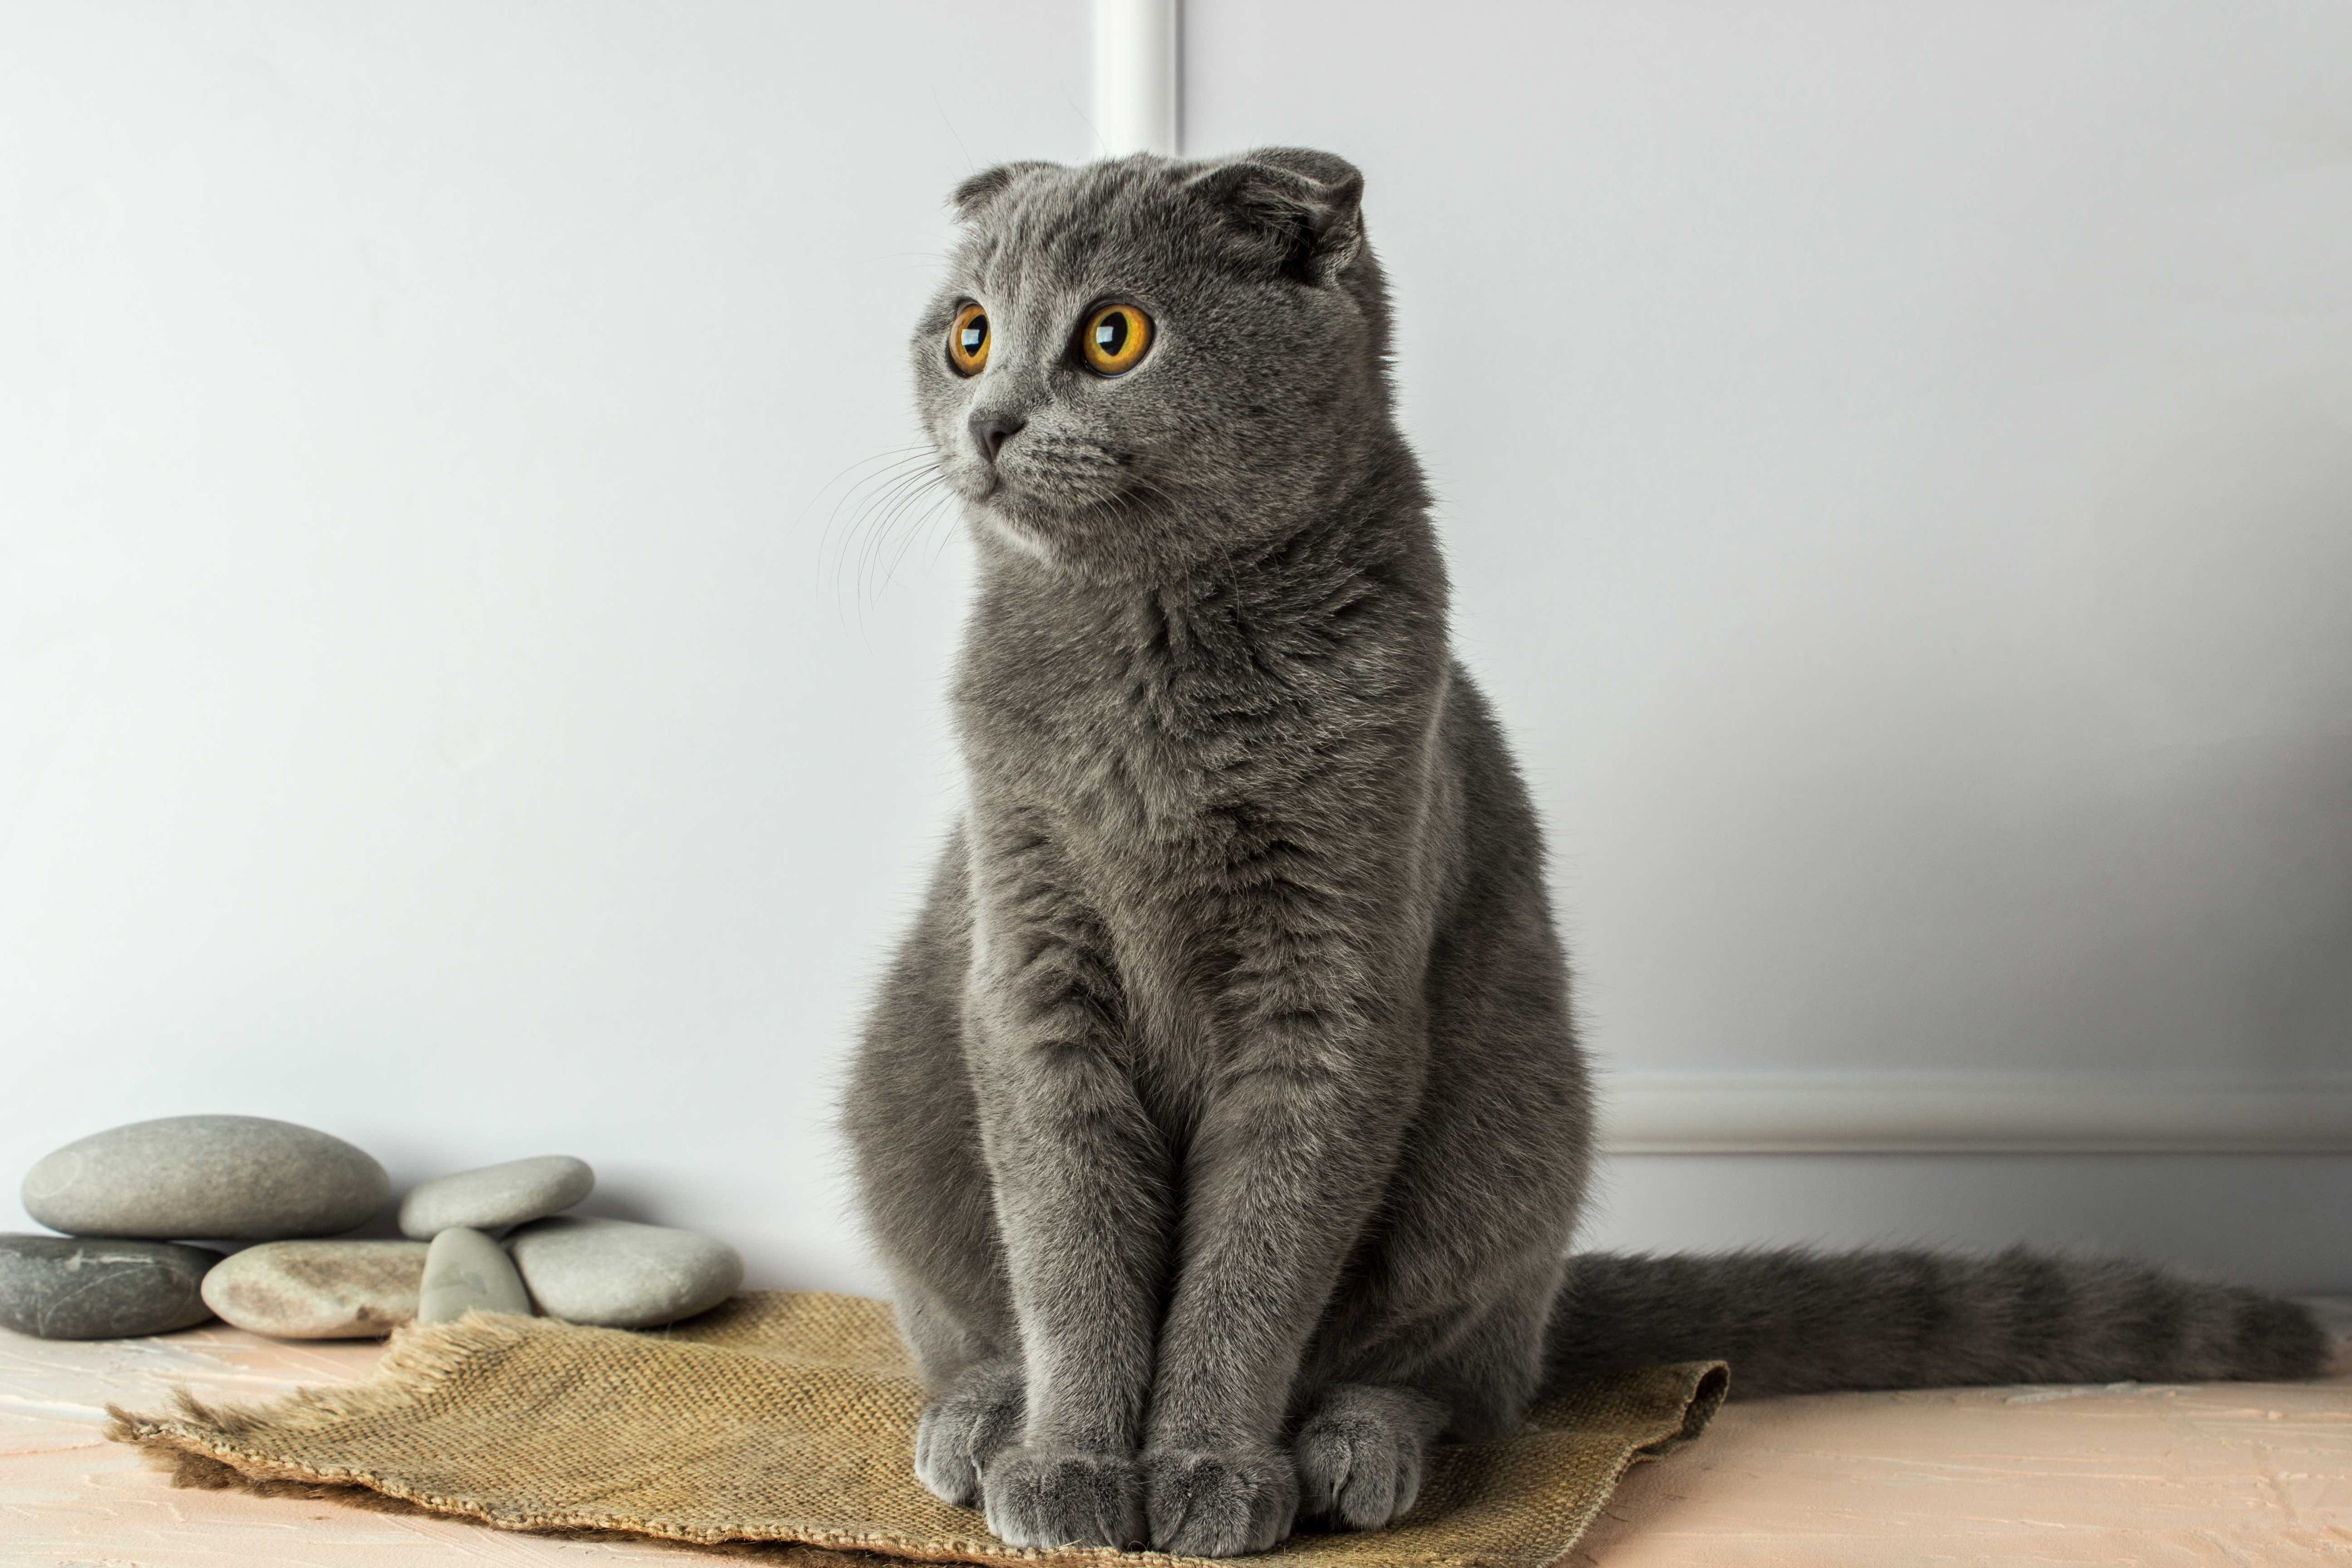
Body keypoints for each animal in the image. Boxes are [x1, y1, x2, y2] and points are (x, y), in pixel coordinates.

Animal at [842, 150, 2314, 1561]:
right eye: (969, 335)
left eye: (1113, 336)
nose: (990, 419)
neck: (1151, 645)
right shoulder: (1035, 963)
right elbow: (1070, 1244)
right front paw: (1076, 1468)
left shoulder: (1331, 986)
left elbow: (1253, 1257)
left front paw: (1206, 1467)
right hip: (902, 1082)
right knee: (975, 1314)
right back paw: (984, 1420)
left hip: (1508, 1116)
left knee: (1451, 1370)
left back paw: (1356, 1445)